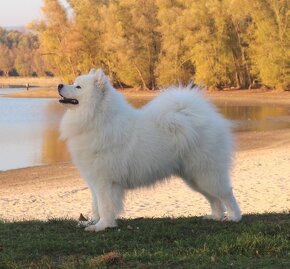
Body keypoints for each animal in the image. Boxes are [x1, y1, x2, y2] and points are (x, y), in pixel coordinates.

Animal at [57, 68, 241, 230]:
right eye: (73, 83)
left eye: (78, 87)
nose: (59, 85)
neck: (97, 118)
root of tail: (206, 117)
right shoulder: (94, 180)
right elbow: (95, 205)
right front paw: (92, 222)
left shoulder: (105, 181)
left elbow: (105, 205)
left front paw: (102, 226)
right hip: (195, 177)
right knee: (214, 199)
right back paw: (215, 216)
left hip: (206, 173)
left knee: (226, 193)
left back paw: (234, 217)